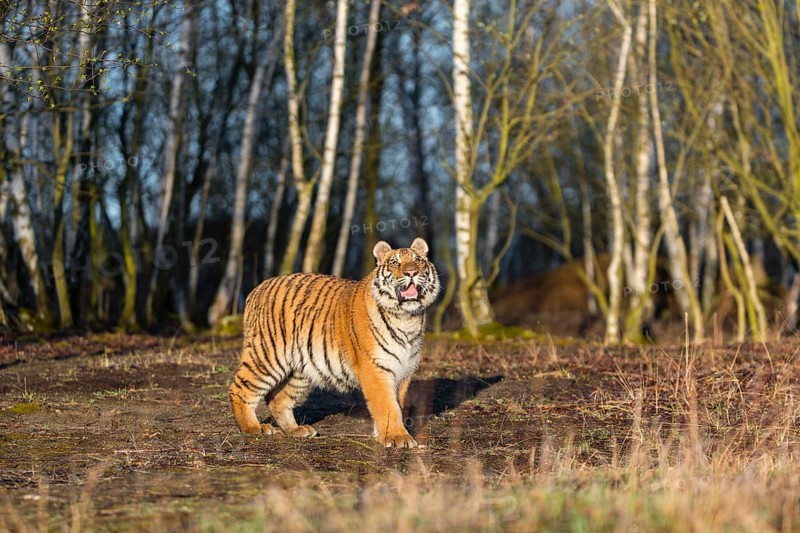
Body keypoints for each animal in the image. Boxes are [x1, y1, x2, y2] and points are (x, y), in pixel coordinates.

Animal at [229, 237, 440, 448]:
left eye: (418, 261)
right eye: (395, 262)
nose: (411, 272)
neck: (407, 318)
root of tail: (257, 289)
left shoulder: (404, 369)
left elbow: (397, 403)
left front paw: (383, 433)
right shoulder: (376, 368)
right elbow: (388, 405)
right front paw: (397, 437)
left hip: (299, 369)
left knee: (277, 399)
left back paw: (296, 430)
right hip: (267, 356)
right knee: (239, 388)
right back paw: (253, 427)